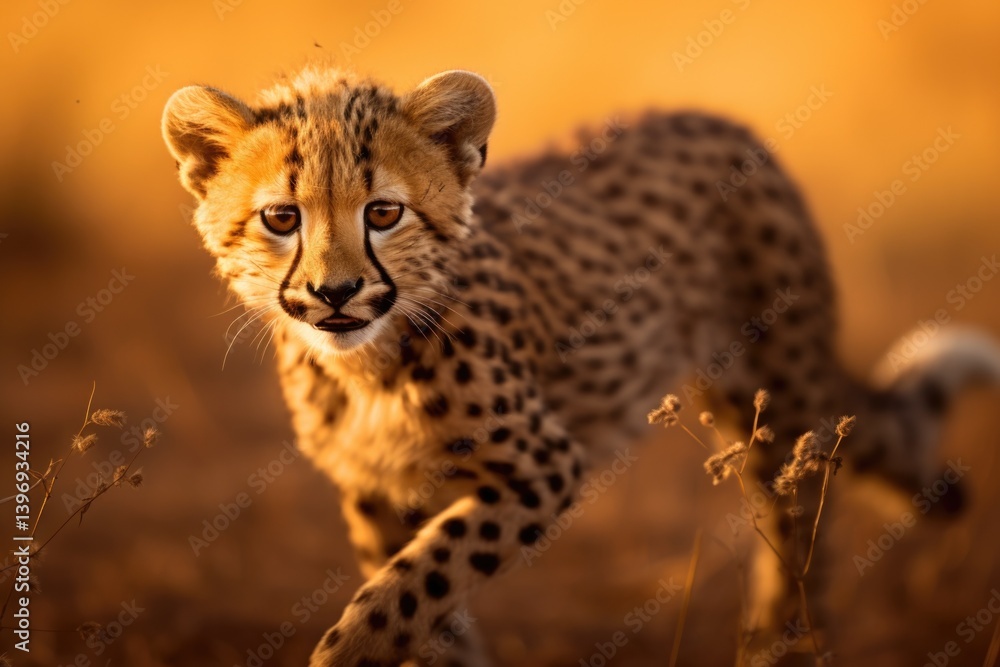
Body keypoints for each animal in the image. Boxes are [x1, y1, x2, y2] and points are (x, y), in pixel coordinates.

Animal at [161, 63, 1000, 666]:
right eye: (282, 217)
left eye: (384, 212)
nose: (336, 293)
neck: (366, 363)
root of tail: (713, 117)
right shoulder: (375, 495)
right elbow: (426, 609)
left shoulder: (543, 467)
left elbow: (411, 586)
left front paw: (346, 652)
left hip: (778, 401)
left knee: (801, 520)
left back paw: (781, 642)